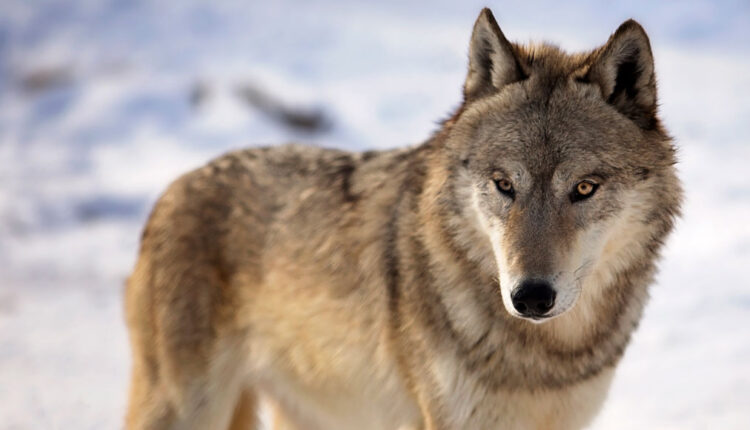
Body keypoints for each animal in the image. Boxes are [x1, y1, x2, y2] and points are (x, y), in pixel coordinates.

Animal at [124, 8, 681, 430]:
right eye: (504, 184)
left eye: (584, 188)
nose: (531, 297)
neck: (547, 357)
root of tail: (173, 188)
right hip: (184, 409)